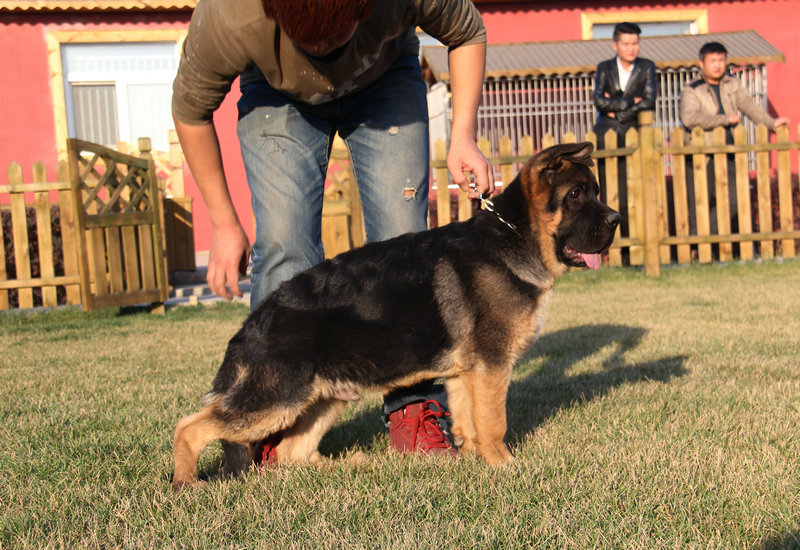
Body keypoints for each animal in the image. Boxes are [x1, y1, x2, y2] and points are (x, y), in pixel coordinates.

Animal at [172, 143, 620, 492]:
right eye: (576, 194)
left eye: (596, 192)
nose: (616, 221)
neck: (515, 235)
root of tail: (253, 324)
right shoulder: (492, 366)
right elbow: (494, 422)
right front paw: (505, 466)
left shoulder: (466, 374)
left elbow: (469, 422)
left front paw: (476, 462)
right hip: (276, 400)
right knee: (190, 428)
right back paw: (185, 485)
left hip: (324, 398)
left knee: (290, 452)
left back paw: (347, 468)